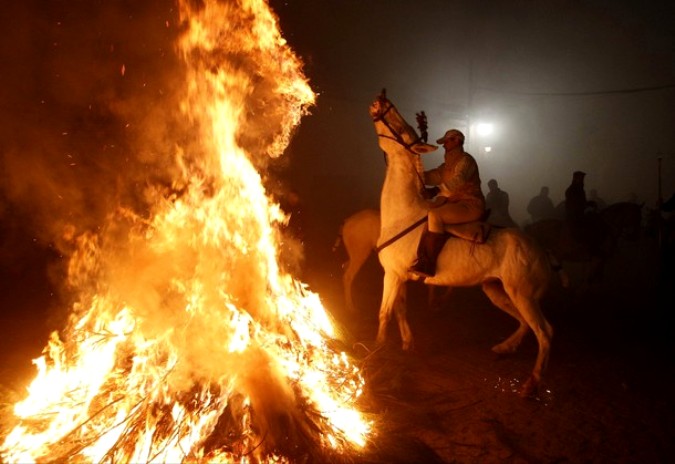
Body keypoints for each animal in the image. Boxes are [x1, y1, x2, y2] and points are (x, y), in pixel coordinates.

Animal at [370, 89, 556, 396]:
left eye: (403, 128)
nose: (382, 98)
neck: (404, 211)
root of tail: (541, 250)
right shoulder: (399, 276)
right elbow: (399, 310)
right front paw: (408, 344)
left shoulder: (392, 275)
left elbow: (384, 314)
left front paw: (375, 353)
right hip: (498, 291)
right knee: (524, 323)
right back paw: (505, 347)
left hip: (523, 295)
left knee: (544, 333)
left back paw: (532, 383)